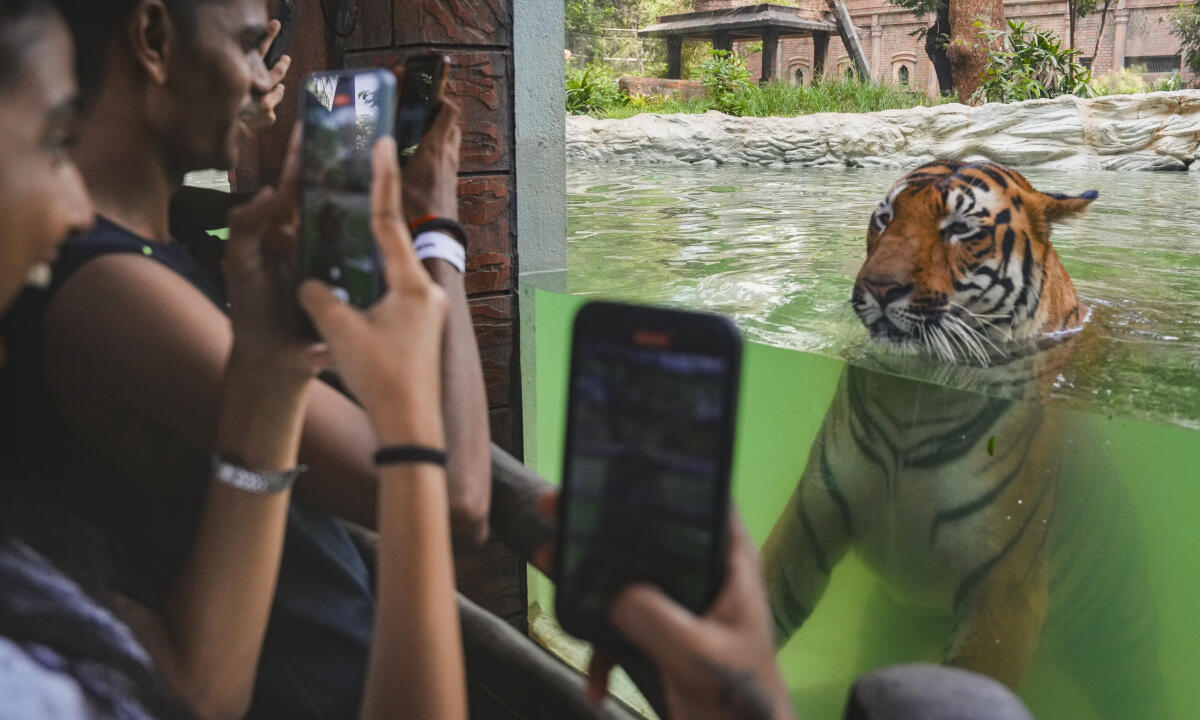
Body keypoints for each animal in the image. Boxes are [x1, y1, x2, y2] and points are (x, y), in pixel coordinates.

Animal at [761, 161, 1164, 717]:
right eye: (884, 219)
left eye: (960, 229)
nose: (879, 287)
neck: (911, 402)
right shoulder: (810, 518)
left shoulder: (1007, 590)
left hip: (1122, 635)